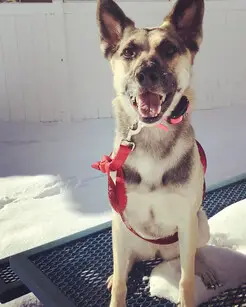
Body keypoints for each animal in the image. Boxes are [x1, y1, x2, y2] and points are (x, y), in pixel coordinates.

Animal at [95, 0, 218, 307]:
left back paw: (205, 268)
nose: (146, 75)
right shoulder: (119, 219)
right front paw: (117, 289)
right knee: (124, 265)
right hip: (124, 233)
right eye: (128, 52)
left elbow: (186, 280)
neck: (151, 136)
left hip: (199, 223)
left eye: (169, 50)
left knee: (195, 255)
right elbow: (121, 284)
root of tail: (156, 253)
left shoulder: (186, 221)